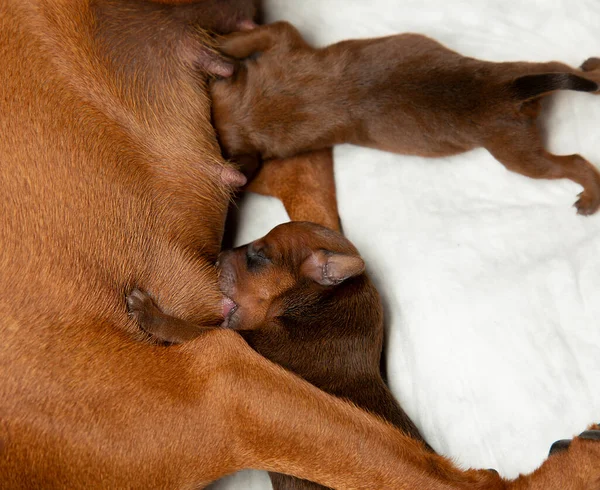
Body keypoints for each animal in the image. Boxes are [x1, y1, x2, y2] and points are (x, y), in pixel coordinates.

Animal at [212, 20, 600, 216]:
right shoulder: (281, 46)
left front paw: (215, 42)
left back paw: (590, 196)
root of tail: (511, 93)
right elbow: (254, 37)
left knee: (574, 162)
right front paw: (220, 44)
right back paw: (594, 67)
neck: (261, 106)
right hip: (533, 68)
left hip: (518, 155)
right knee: (580, 78)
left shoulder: (284, 46)